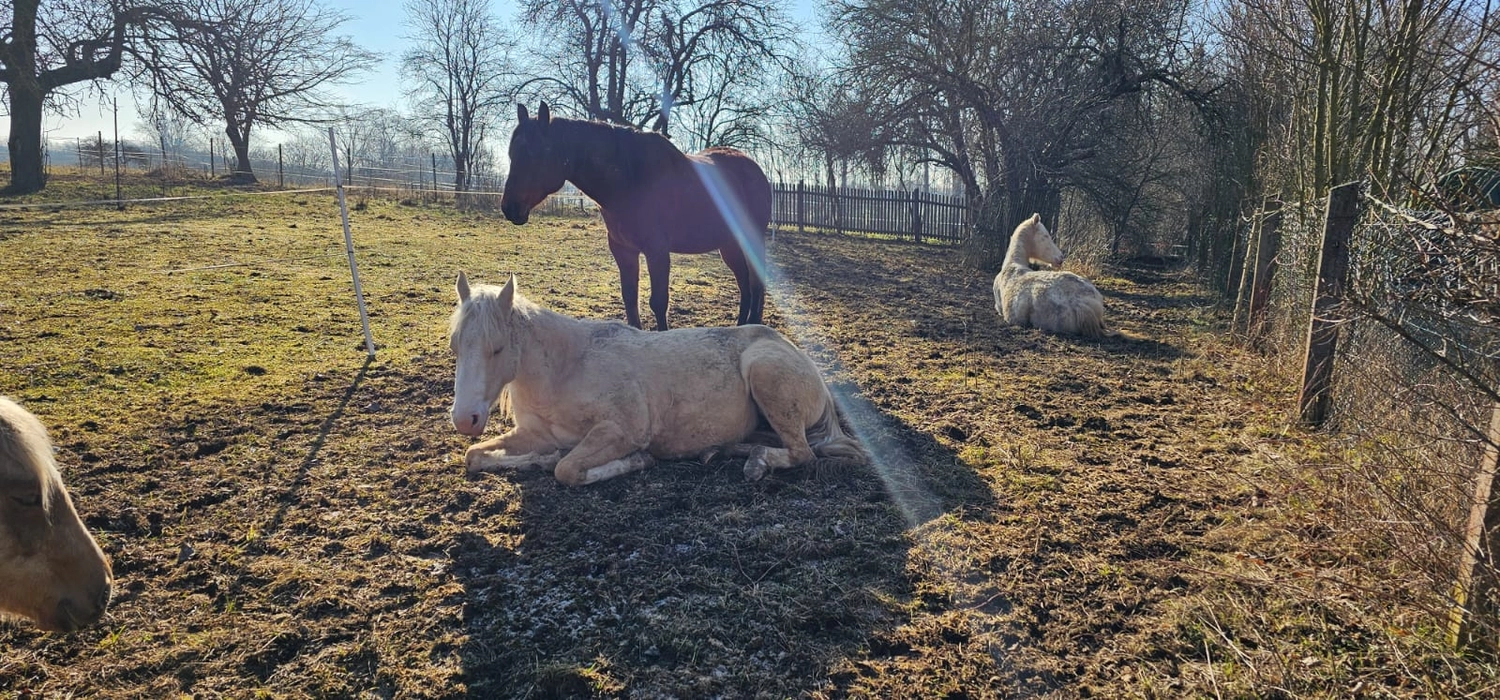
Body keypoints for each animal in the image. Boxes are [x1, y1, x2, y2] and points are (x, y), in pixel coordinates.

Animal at [448, 272, 867, 486]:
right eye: (455, 345)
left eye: (497, 348)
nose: (465, 419)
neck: (567, 368)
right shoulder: (533, 433)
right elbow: (474, 456)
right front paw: (538, 458)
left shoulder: (622, 430)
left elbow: (566, 470)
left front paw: (638, 461)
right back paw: (723, 452)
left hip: (766, 374)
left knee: (802, 453)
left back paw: (755, 465)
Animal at [500, 102, 772, 331]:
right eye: (512, 154)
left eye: (536, 153)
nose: (510, 208)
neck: (630, 180)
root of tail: (754, 168)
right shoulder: (624, 250)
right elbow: (630, 299)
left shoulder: (657, 251)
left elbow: (658, 302)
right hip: (729, 245)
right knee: (745, 284)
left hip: (750, 239)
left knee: (755, 284)